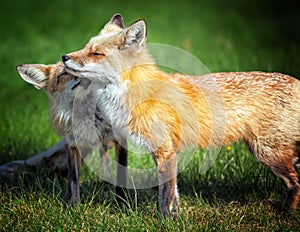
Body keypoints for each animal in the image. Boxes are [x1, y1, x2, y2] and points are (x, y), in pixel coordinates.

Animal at [16, 13, 127, 204]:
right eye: (63, 75)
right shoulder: (73, 141)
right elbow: (73, 178)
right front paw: (73, 205)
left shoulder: (119, 137)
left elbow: (121, 175)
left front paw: (122, 203)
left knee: (104, 152)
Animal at [62, 14, 298, 218]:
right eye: (86, 47)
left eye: (96, 54)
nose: (64, 57)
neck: (139, 93)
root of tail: (295, 82)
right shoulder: (169, 151)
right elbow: (173, 194)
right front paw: (175, 218)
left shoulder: (165, 151)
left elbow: (164, 197)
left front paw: (163, 221)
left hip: (267, 153)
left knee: (295, 184)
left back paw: (285, 213)